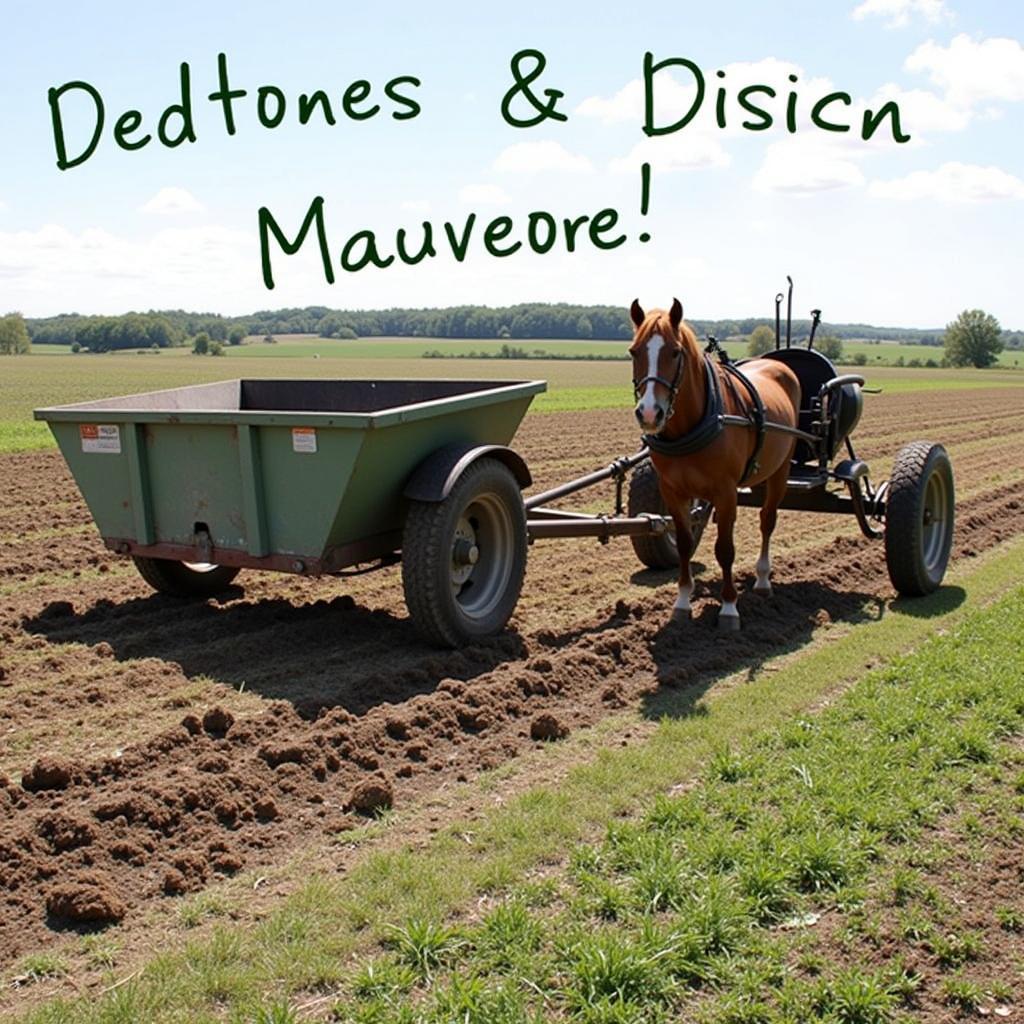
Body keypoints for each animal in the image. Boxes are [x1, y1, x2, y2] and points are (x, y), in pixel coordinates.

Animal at [630, 299, 798, 626]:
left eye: (675, 352)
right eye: (634, 351)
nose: (649, 413)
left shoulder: (726, 491)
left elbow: (725, 549)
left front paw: (729, 606)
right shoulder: (673, 491)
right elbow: (684, 544)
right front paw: (683, 601)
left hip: (781, 470)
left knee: (767, 520)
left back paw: (763, 579)